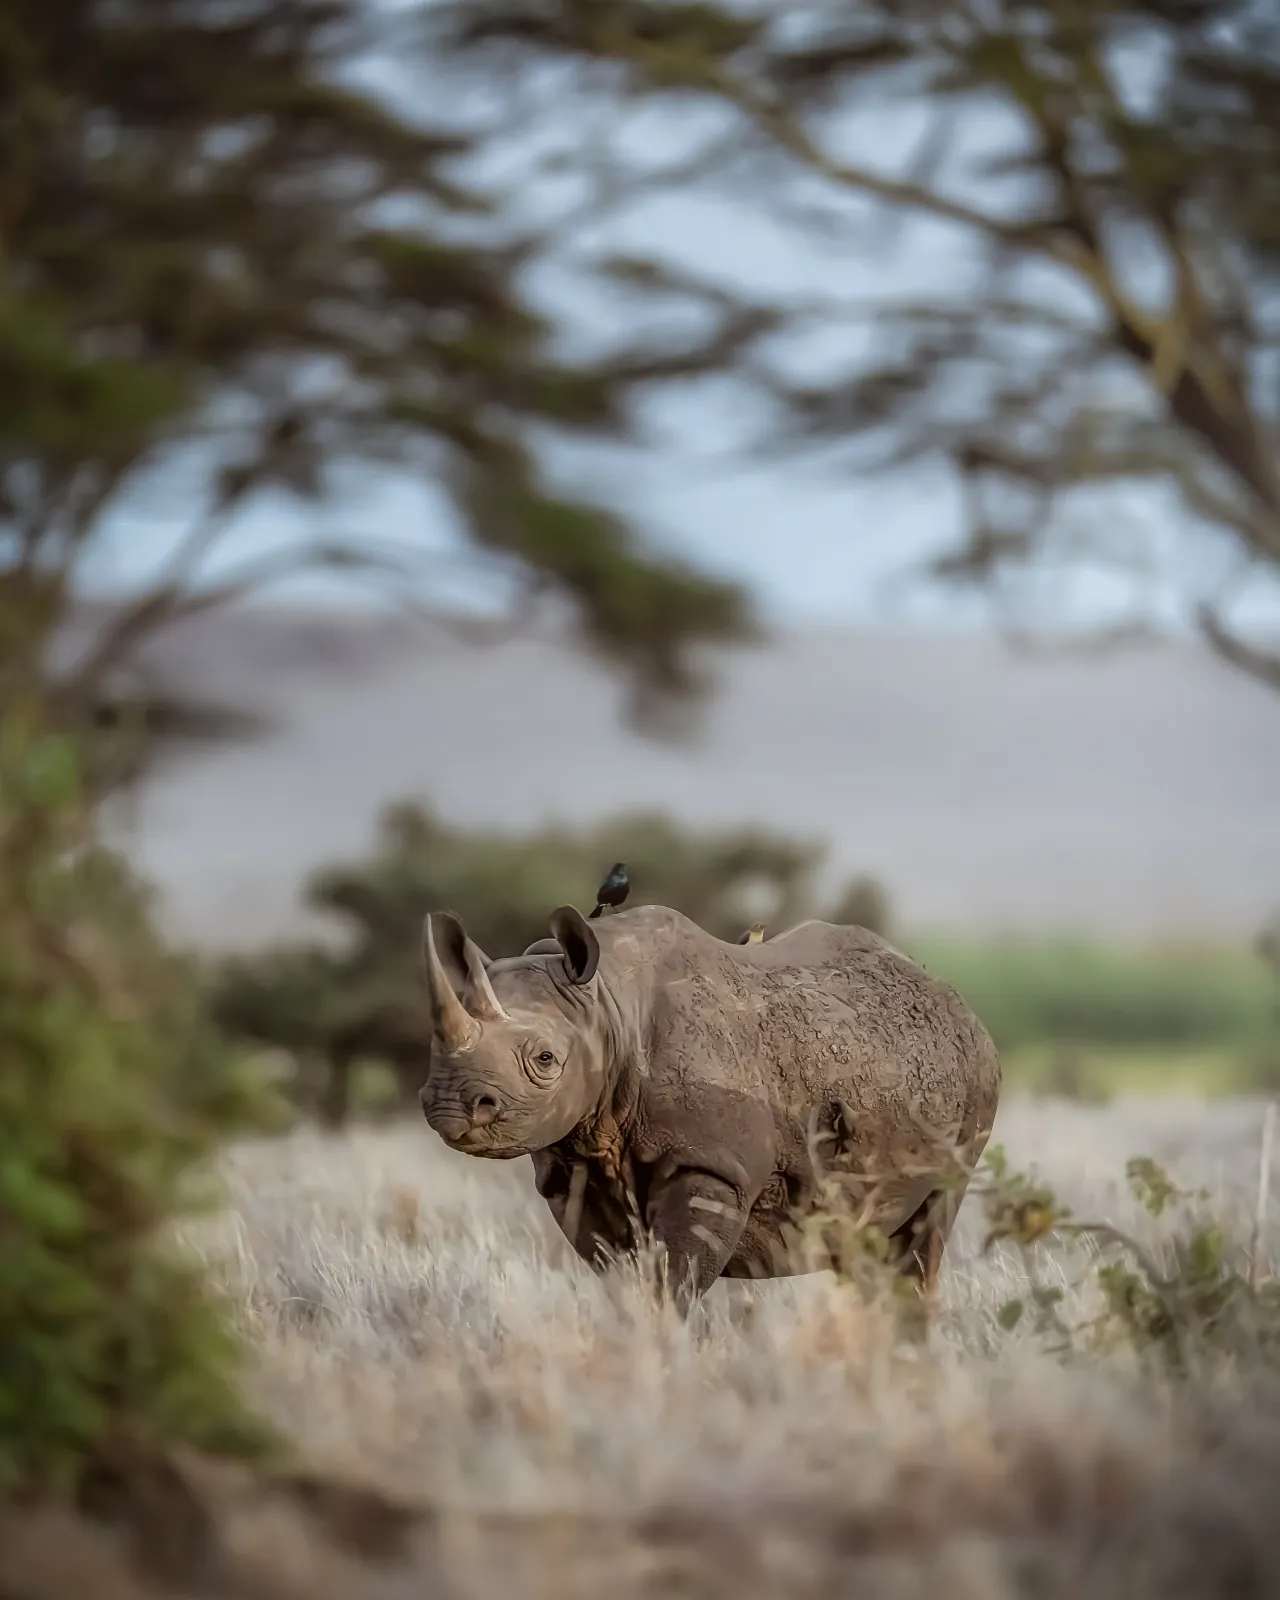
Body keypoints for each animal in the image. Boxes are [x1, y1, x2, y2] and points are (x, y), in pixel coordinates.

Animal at [418, 903, 1001, 1311]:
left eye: (544, 1059)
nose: (448, 1106)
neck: (608, 1005)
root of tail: (957, 1003)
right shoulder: (572, 1170)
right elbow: (624, 1278)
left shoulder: (712, 1165)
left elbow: (675, 1279)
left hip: (977, 1082)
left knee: (926, 1232)